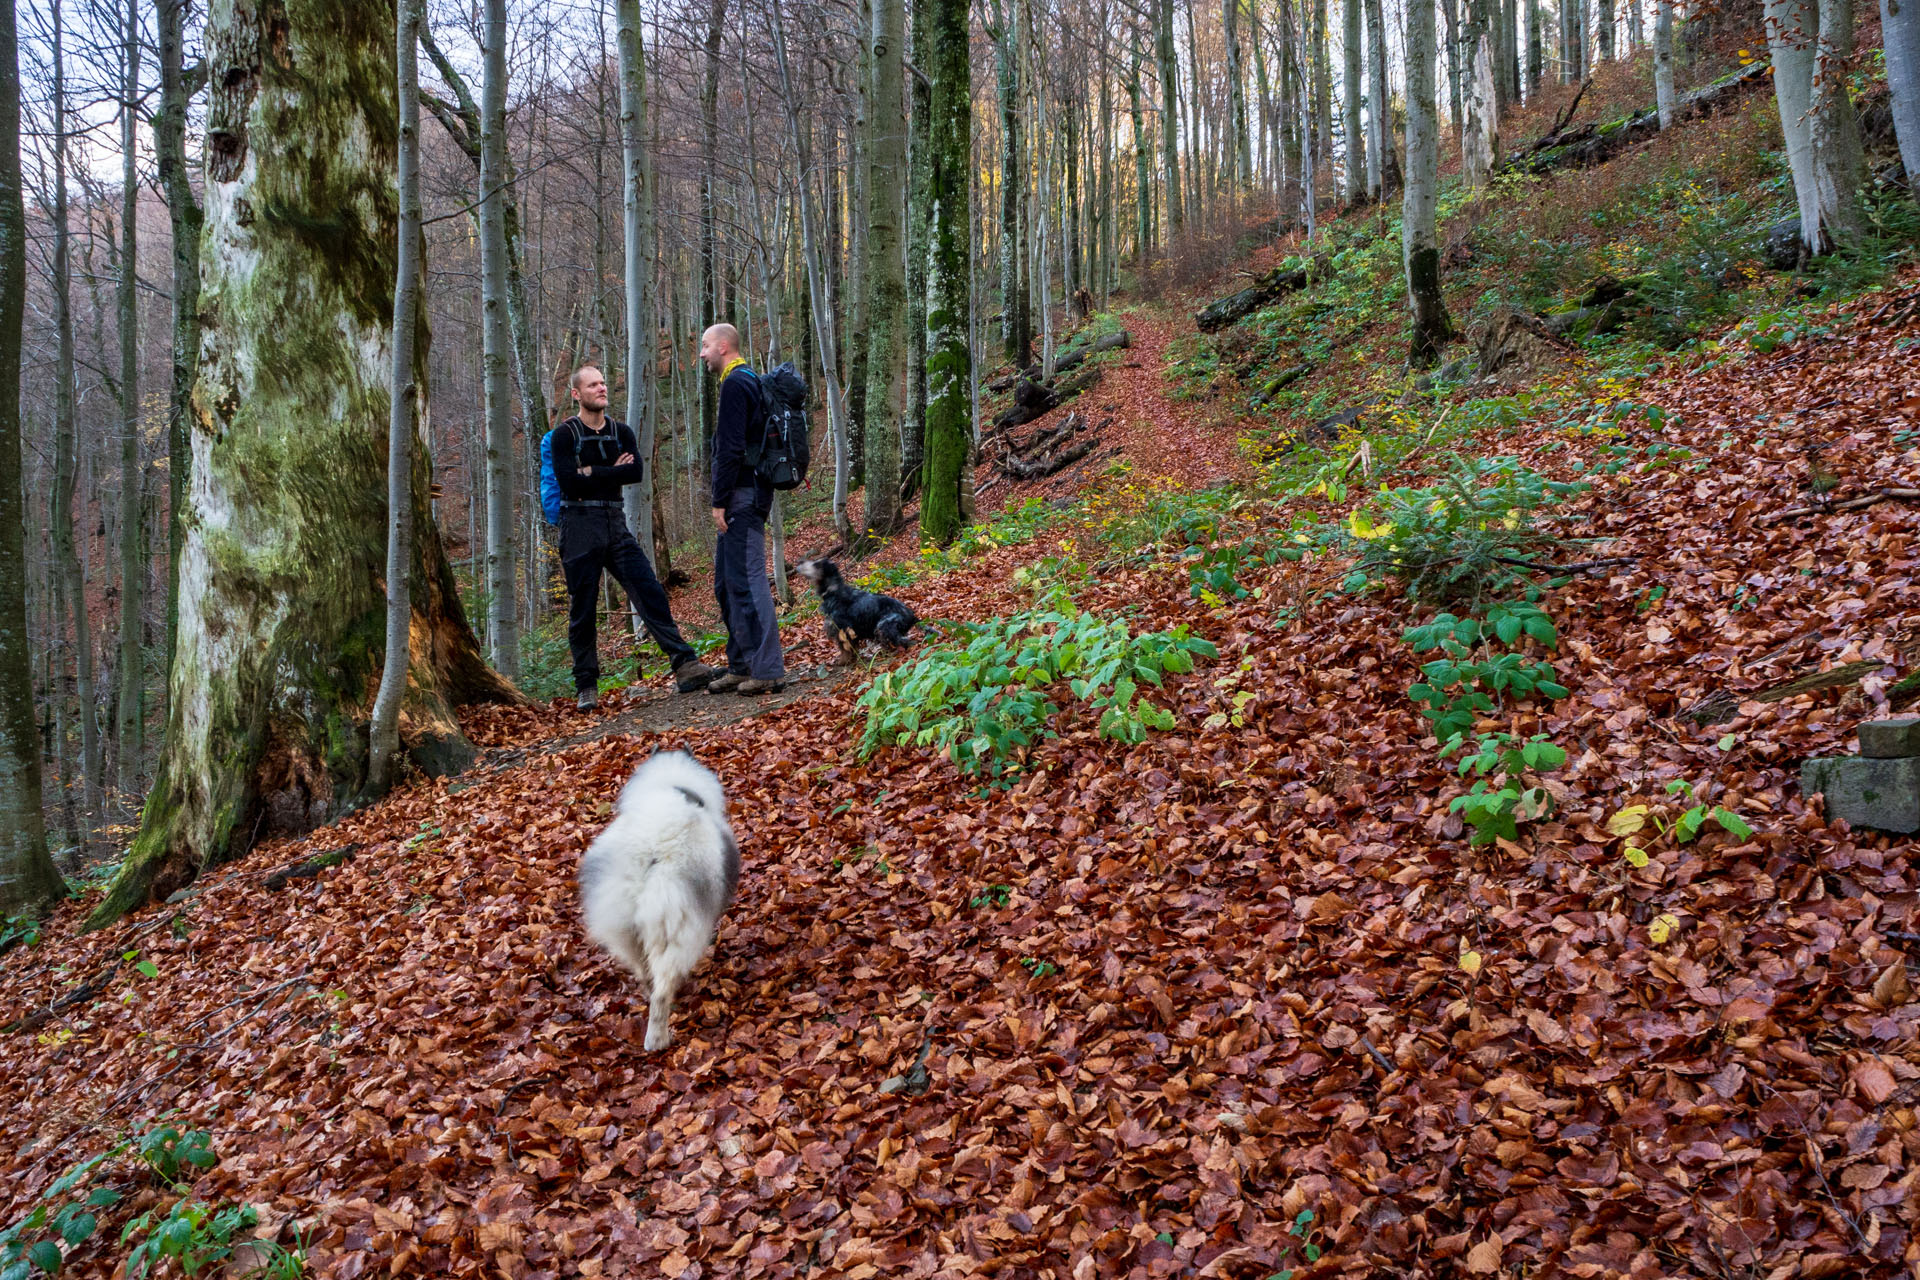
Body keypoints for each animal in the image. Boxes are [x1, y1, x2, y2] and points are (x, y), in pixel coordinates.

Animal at [572, 752, 737, 1051]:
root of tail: (648, 856)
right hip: (674, 933)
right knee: (661, 989)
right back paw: (658, 1039)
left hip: (626, 934)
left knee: (646, 976)